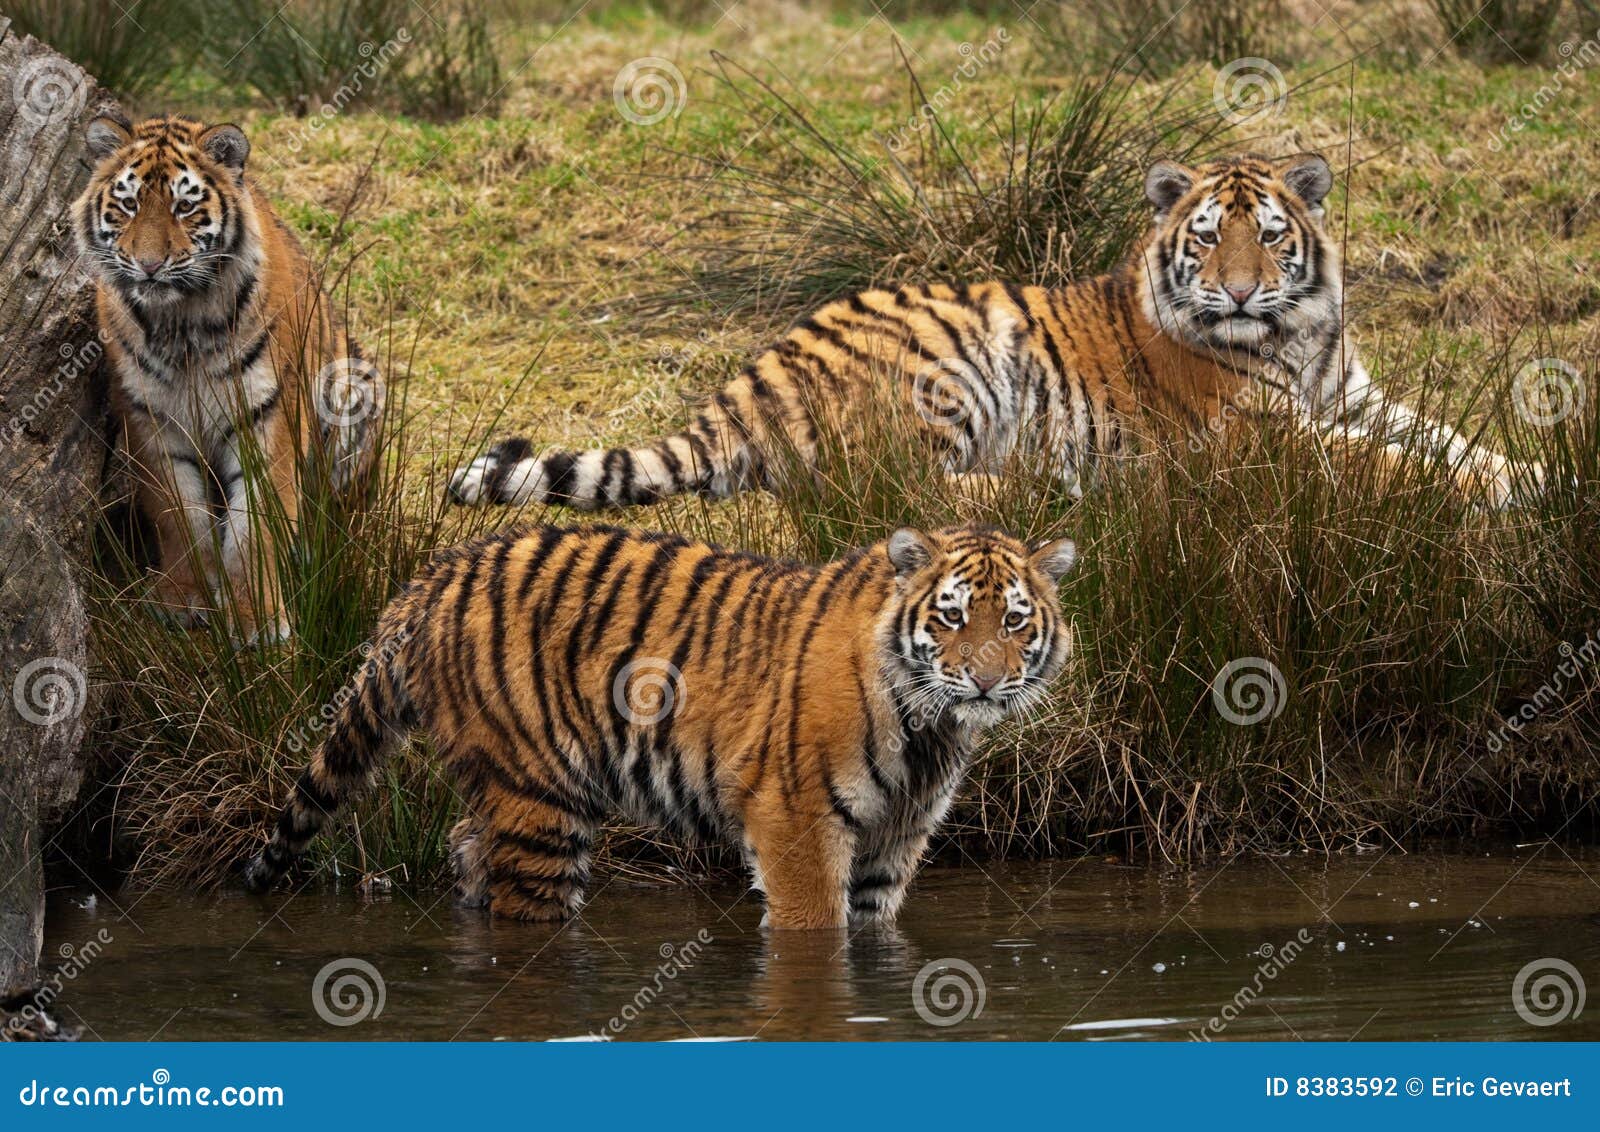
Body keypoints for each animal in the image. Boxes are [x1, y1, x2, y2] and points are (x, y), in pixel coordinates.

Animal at [246, 521, 1075, 927]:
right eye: (953, 617)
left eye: (1014, 621)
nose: (987, 679)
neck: (929, 728)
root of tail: (429, 578)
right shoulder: (796, 821)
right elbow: (816, 930)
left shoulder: (896, 838)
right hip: (540, 800)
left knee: (464, 847)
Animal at [448, 153, 1536, 511]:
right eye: (1205, 239)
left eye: (1268, 237)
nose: (1235, 296)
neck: (1297, 336)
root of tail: (758, 369)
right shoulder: (1256, 432)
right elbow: (1385, 464)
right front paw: (1496, 491)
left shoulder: (1355, 395)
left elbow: (1445, 438)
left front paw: (1529, 473)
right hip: (956, 363)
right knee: (880, 485)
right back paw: (1048, 485)